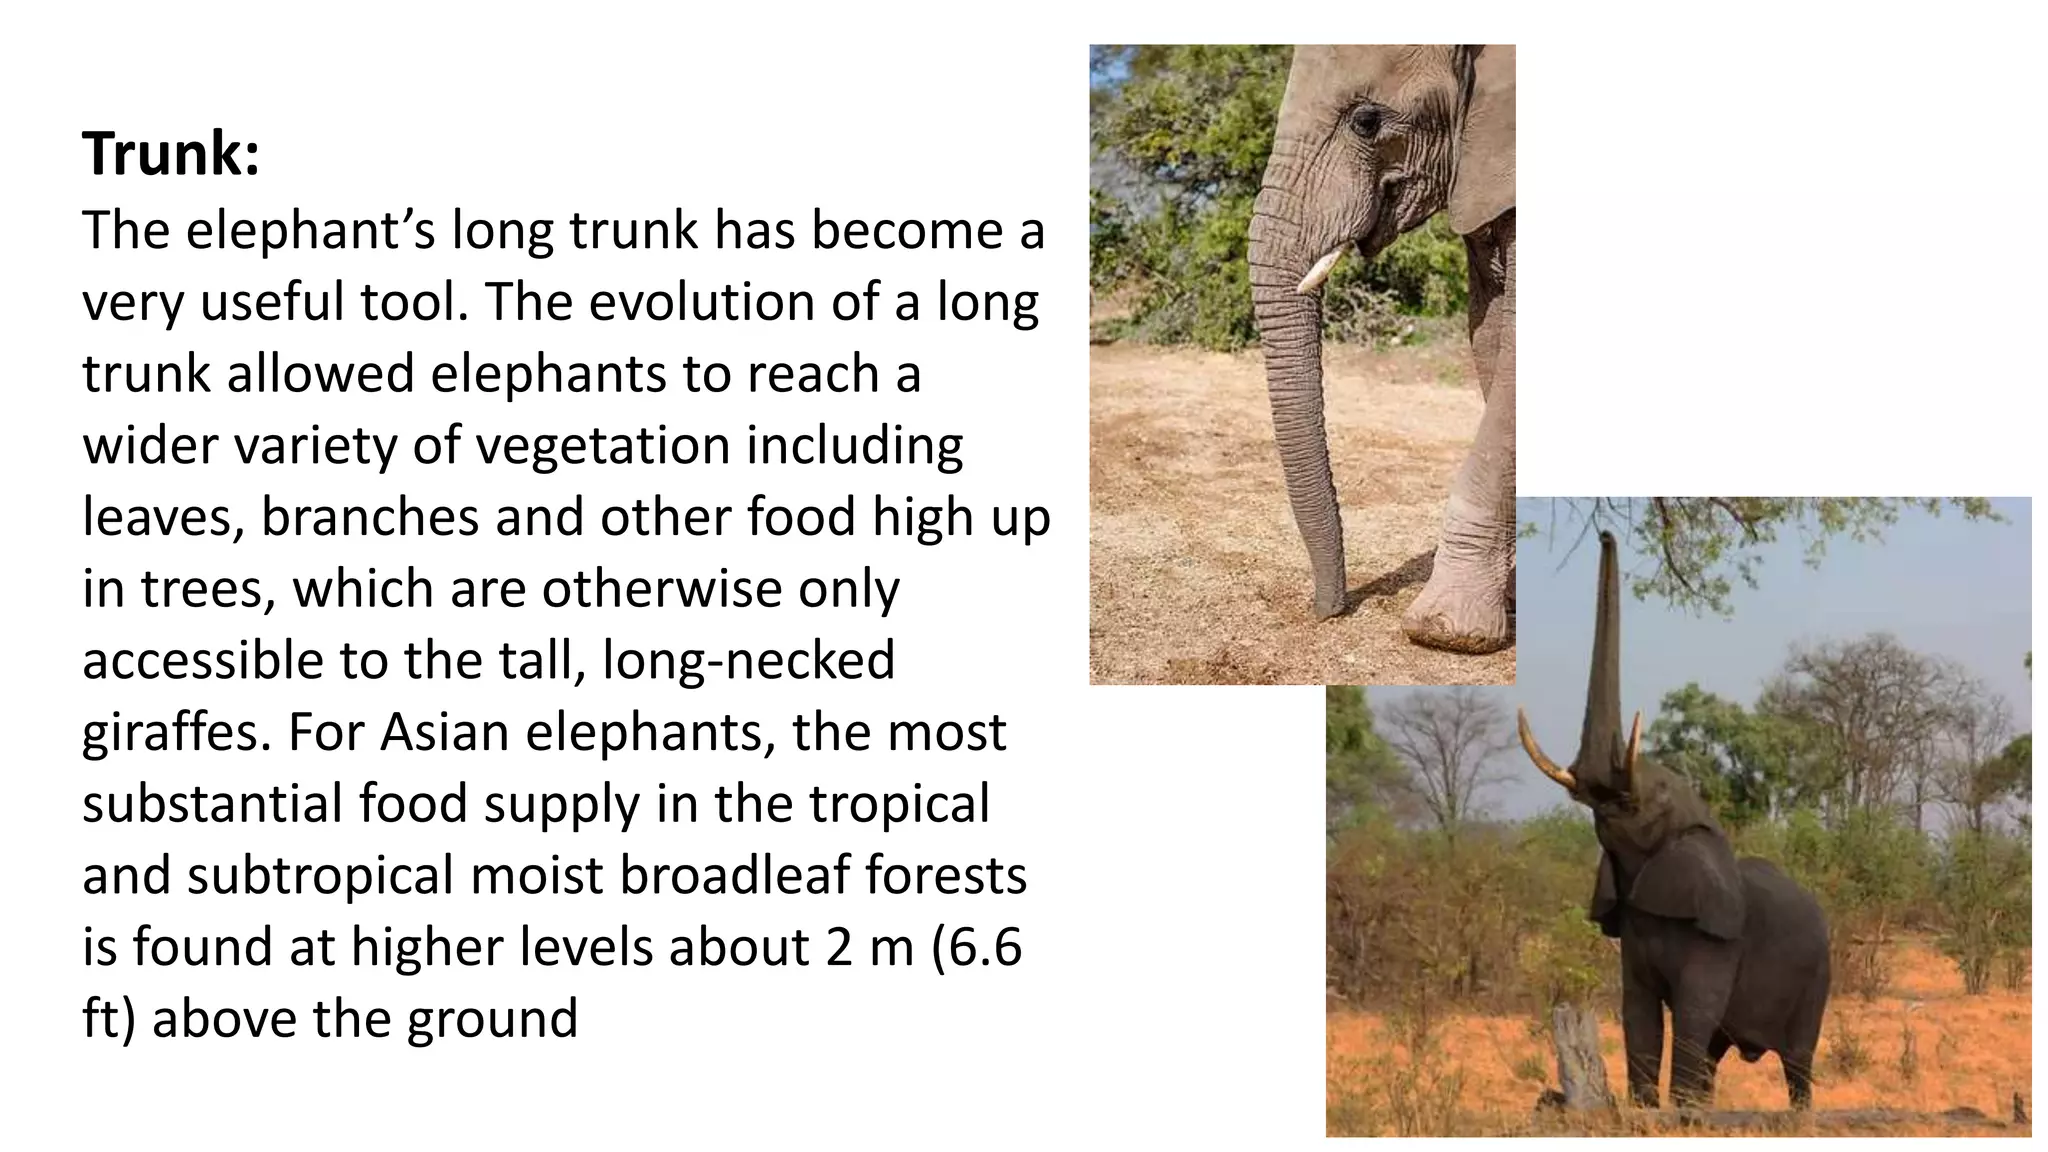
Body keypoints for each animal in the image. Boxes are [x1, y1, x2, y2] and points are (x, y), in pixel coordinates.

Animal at [1516, 531, 1830, 1110]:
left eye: (1651, 799)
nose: (1606, 534)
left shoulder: (1718, 935)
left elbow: (1690, 1013)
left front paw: (1673, 1113)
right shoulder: (1632, 925)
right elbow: (1637, 1011)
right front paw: (1649, 1111)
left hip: (1819, 976)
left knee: (1797, 1059)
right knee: (1716, 1050)